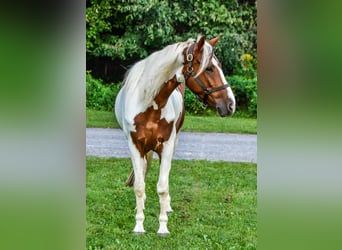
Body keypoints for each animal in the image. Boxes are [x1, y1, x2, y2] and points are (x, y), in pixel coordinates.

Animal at [114, 34, 235, 235]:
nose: (231, 104)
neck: (149, 104)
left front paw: (163, 226)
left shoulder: (167, 146)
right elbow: (139, 186)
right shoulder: (135, 146)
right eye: (209, 68)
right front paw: (139, 225)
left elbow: (163, 187)